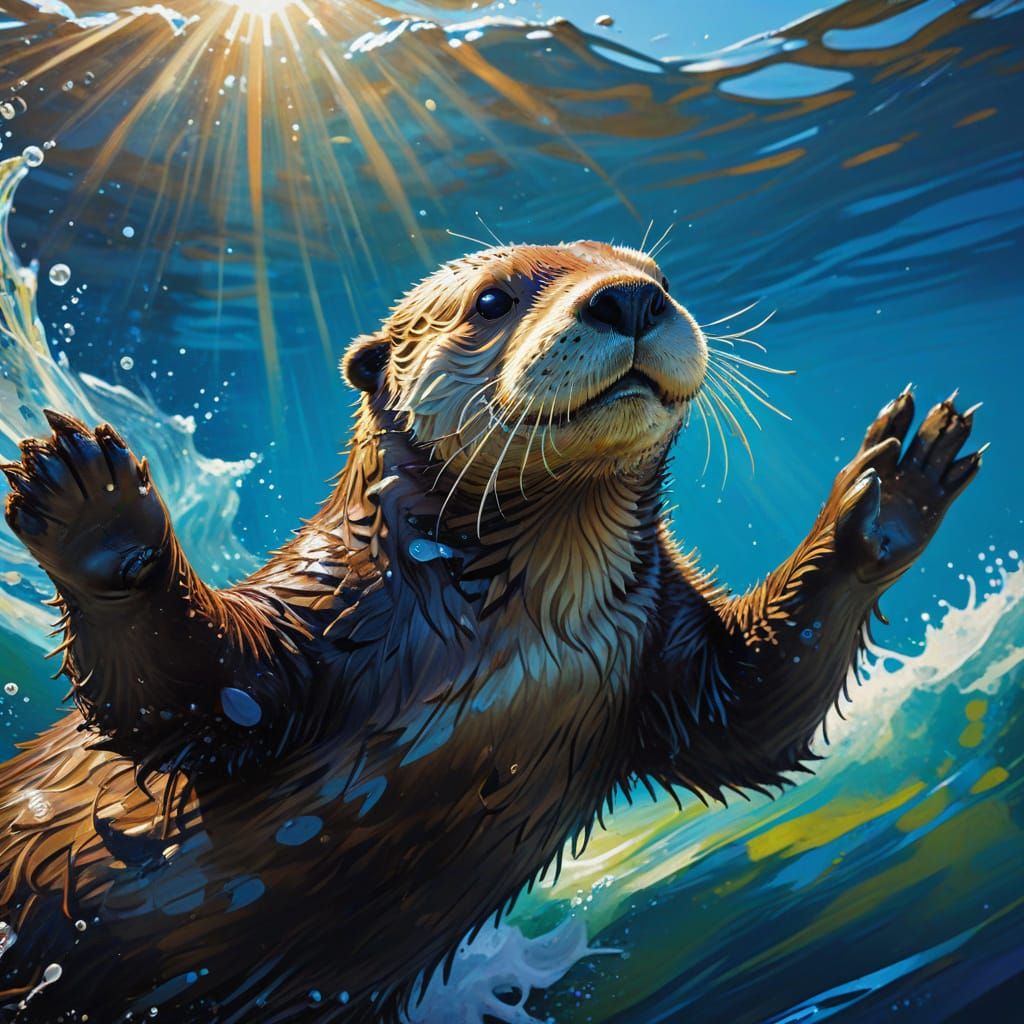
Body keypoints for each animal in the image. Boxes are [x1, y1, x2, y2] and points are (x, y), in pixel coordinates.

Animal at [0, 241, 981, 1022]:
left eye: (662, 277)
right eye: (492, 302)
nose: (631, 298)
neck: (525, 631)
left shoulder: (665, 657)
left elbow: (757, 713)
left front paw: (887, 497)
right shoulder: (313, 621)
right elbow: (181, 705)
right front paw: (102, 520)